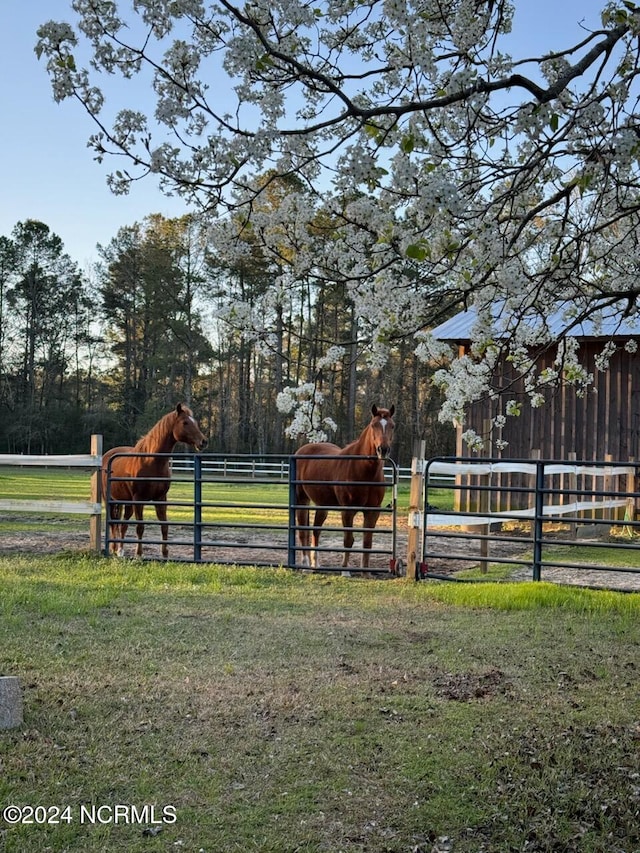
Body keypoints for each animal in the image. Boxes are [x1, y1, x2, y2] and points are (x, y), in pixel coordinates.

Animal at [102, 404, 208, 560]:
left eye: (195, 422)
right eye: (185, 422)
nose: (203, 441)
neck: (151, 462)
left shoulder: (161, 498)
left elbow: (164, 526)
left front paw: (165, 554)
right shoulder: (139, 499)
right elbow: (140, 527)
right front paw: (139, 554)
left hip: (125, 501)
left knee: (122, 524)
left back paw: (120, 550)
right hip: (110, 500)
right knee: (113, 523)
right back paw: (114, 548)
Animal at [296, 406, 396, 572]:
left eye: (392, 426)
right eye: (374, 425)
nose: (383, 450)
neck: (362, 469)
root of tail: (302, 450)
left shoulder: (372, 511)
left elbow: (367, 542)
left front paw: (366, 572)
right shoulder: (348, 510)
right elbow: (348, 540)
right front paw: (345, 570)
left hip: (322, 505)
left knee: (316, 531)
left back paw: (315, 564)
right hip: (302, 500)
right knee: (303, 531)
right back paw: (305, 564)